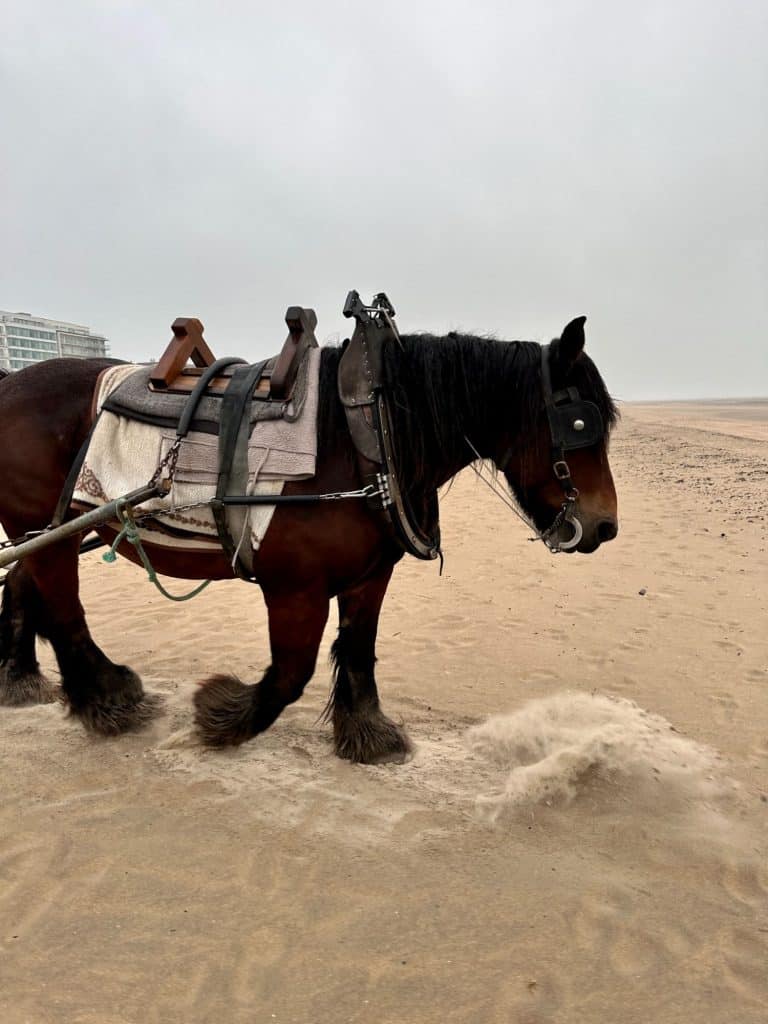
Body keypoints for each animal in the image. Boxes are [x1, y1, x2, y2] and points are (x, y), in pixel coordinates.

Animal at [0, 317, 618, 761]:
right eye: (579, 425)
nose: (605, 525)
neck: (366, 435)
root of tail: (11, 380)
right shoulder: (294, 588)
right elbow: (291, 672)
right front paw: (222, 717)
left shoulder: (370, 577)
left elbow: (360, 651)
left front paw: (366, 732)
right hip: (51, 533)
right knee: (63, 611)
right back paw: (105, 697)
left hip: (47, 529)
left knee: (23, 587)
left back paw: (23, 677)